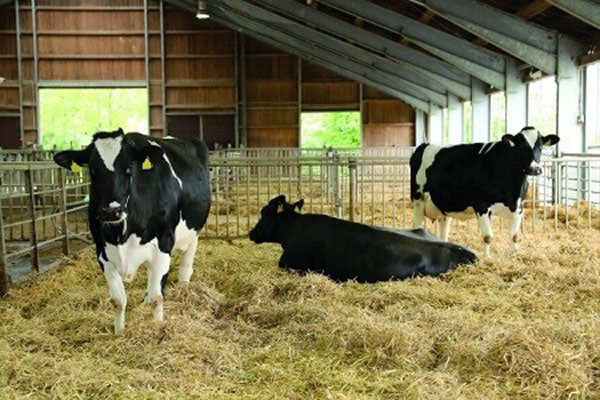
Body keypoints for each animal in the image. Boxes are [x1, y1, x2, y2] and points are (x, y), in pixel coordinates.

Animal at [52, 129, 211, 334]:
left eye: (129, 168)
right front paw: (119, 333)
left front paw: (157, 327)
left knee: (184, 268)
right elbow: (118, 301)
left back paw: (183, 288)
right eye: (93, 170)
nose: (111, 211)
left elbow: (157, 297)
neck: (122, 233)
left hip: (194, 233)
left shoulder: (163, 244)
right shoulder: (103, 253)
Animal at [410, 126, 560, 256]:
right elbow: (488, 237)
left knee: (444, 231)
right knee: (417, 227)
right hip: (418, 199)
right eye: (522, 146)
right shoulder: (482, 206)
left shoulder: (519, 207)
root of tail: (424, 145)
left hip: (444, 207)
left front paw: (515, 254)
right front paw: (487, 258)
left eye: (540, 146)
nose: (535, 169)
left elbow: (515, 236)